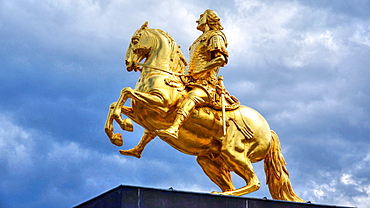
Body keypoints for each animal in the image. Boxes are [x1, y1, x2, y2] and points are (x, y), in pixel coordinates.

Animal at [104, 21, 304, 202]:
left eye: (135, 40)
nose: (128, 63)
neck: (163, 75)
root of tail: (268, 130)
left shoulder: (161, 105)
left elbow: (125, 91)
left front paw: (124, 125)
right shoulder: (142, 113)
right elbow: (115, 104)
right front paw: (117, 134)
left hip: (234, 153)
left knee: (254, 182)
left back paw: (225, 194)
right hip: (209, 160)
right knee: (232, 183)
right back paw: (220, 193)